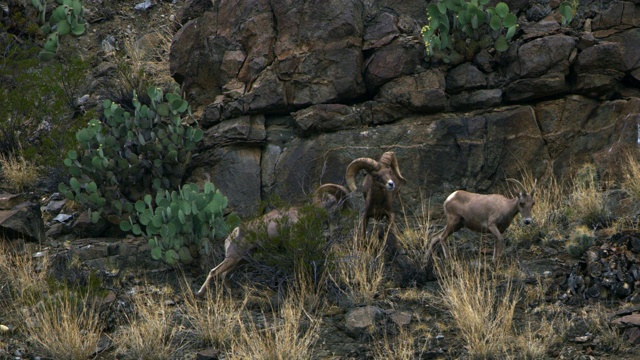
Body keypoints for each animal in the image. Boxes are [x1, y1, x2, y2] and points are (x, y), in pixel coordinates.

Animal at [198, 184, 352, 296]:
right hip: (233, 258)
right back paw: (200, 294)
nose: (337, 226)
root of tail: (233, 234)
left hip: (241, 260)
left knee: (224, 275)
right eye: (336, 207)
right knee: (214, 272)